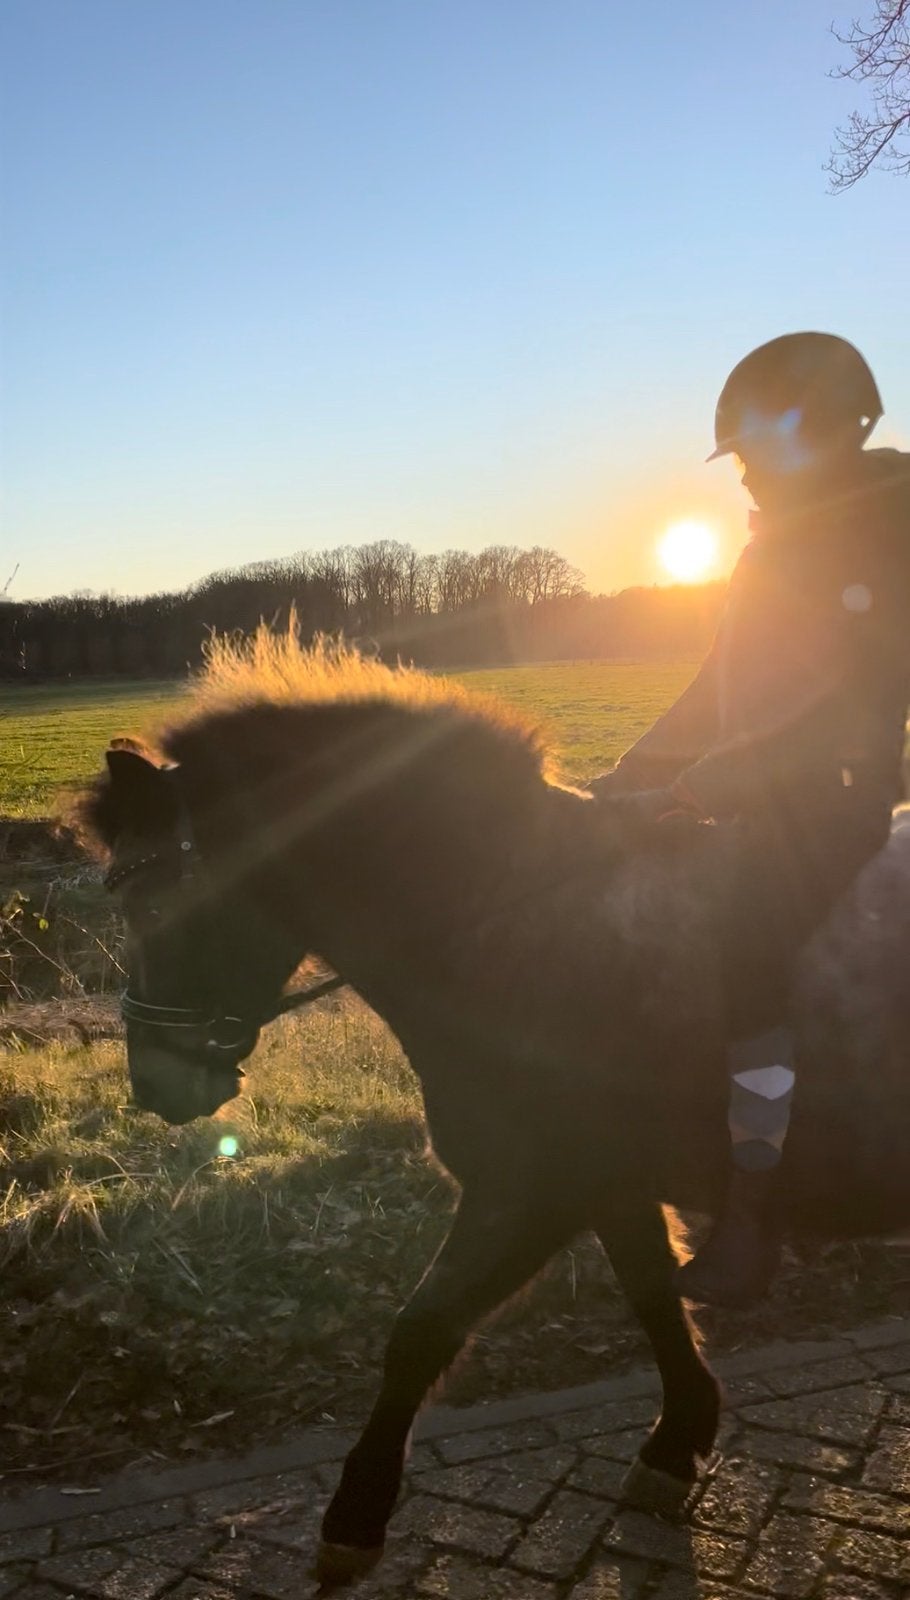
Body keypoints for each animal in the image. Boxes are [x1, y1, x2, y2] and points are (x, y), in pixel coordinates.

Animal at [76, 635, 910, 1587]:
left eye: (154, 903)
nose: (154, 1085)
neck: (522, 920)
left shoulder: (529, 1192)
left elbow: (420, 1333)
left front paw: (355, 1516)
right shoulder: (609, 1187)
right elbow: (653, 1297)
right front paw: (677, 1441)